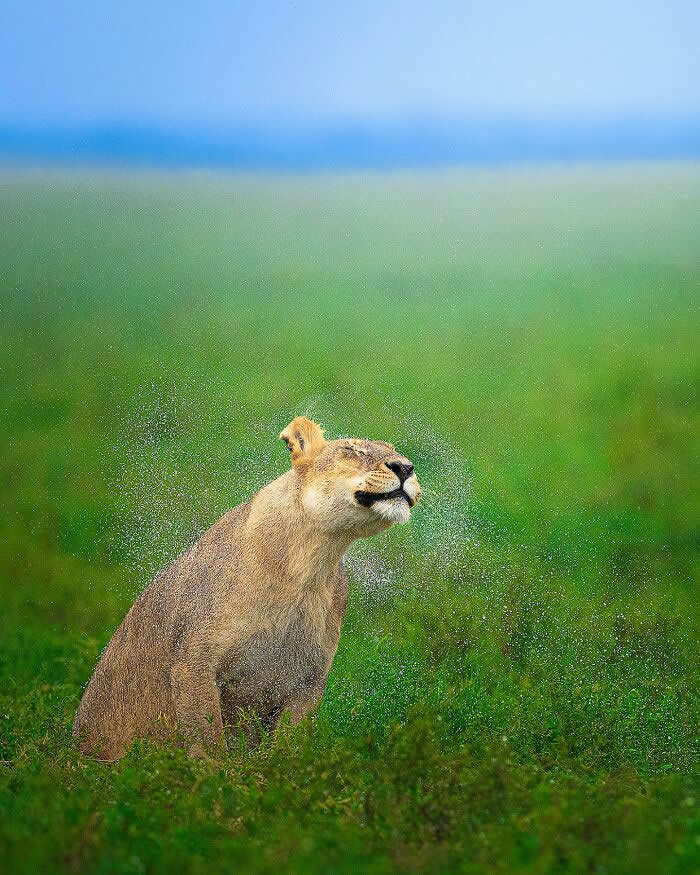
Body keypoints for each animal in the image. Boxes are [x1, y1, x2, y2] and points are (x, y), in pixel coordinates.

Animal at [73, 416, 421, 760]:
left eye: (395, 451)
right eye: (353, 449)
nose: (406, 468)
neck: (309, 564)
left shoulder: (308, 680)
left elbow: (287, 748)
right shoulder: (193, 665)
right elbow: (208, 744)